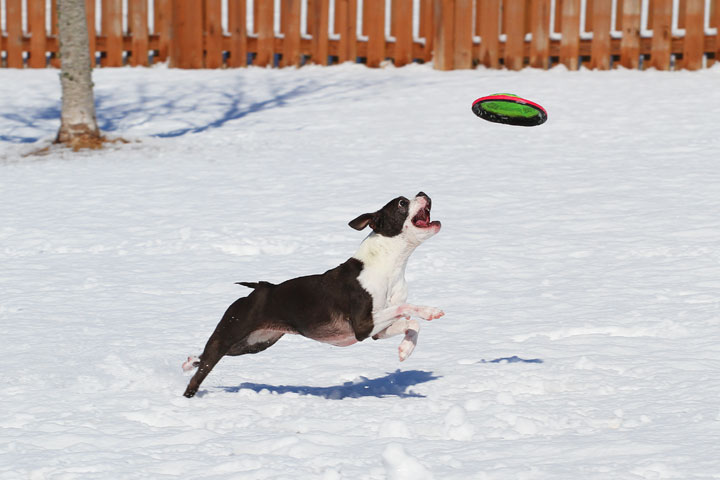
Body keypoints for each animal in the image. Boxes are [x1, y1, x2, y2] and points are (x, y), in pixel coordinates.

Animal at [183, 191, 442, 398]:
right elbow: (406, 309)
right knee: (202, 370)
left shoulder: (377, 331)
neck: (390, 264)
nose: (422, 192)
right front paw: (430, 311)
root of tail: (259, 288)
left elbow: (411, 324)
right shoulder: (362, 325)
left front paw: (405, 349)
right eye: (401, 203)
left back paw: (188, 362)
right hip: (230, 334)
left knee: (205, 357)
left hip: (255, 343)